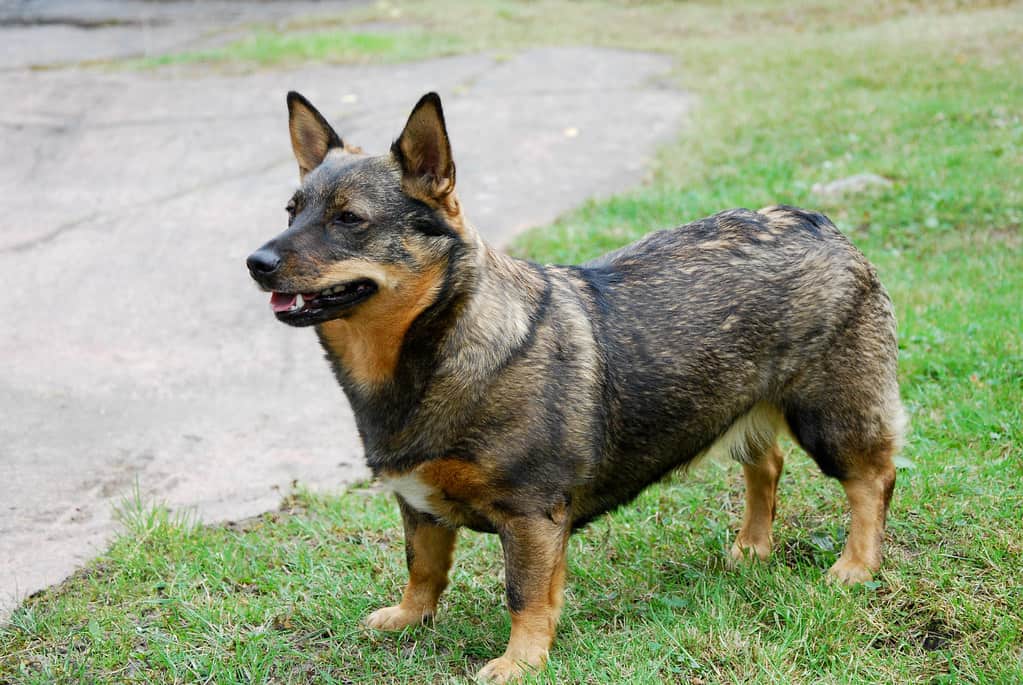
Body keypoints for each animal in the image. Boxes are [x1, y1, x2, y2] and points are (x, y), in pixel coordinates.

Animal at [245, 92, 904, 685]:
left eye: (349, 219)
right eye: (291, 210)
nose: (255, 262)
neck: (438, 347)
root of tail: (818, 224)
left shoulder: (531, 515)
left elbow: (524, 594)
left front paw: (520, 661)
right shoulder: (420, 507)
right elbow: (423, 568)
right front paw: (411, 617)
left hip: (830, 417)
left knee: (871, 479)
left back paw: (856, 565)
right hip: (738, 404)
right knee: (766, 464)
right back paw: (751, 546)